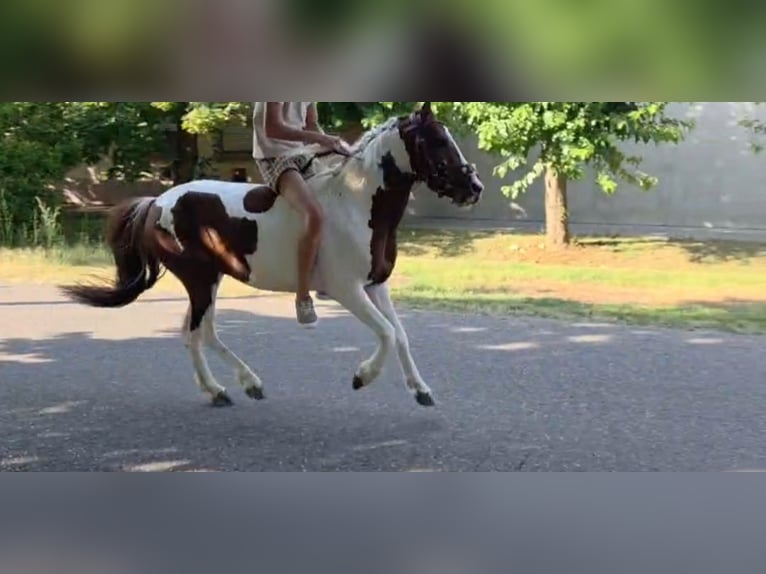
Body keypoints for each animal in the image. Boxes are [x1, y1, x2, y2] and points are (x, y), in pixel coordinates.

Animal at [60, 102, 485, 408]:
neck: (358, 202)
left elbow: (400, 334)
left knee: (196, 333)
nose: (474, 187)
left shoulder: (375, 286)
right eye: (437, 140)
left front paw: (421, 391)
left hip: (209, 280)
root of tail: (158, 202)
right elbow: (386, 332)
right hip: (200, 281)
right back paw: (232, 387)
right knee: (200, 333)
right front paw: (362, 377)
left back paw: (231, 388)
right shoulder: (347, 290)